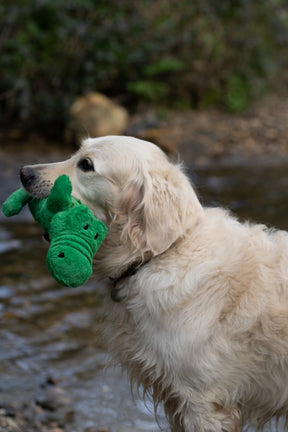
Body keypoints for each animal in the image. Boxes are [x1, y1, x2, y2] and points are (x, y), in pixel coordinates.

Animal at [19, 136, 288, 432]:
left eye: (86, 165)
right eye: (76, 152)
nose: (24, 173)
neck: (161, 254)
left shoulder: (204, 402)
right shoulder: (177, 397)